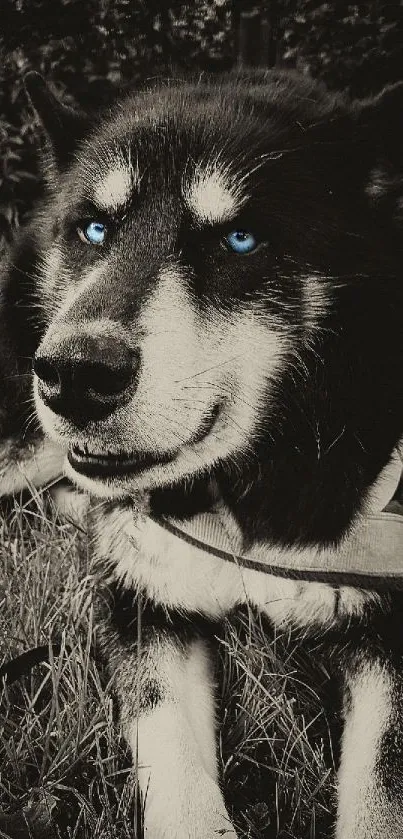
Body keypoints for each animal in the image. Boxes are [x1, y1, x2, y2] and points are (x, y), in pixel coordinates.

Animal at [3, 70, 403, 832]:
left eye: (240, 239)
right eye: (94, 229)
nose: (76, 374)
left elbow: (381, 787)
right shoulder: (137, 605)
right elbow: (173, 756)